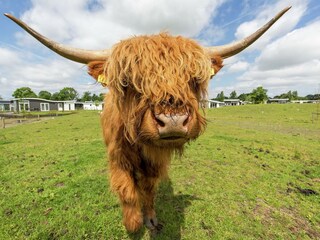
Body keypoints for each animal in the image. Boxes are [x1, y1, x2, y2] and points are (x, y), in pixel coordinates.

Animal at [4, 7, 290, 232]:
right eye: (128, 82)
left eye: (193, 79)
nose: (173, 120)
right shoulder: (117, 157)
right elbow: (127, 190)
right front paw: (132, 223)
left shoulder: (155, 161)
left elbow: (148, 189)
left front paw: (150, 218)